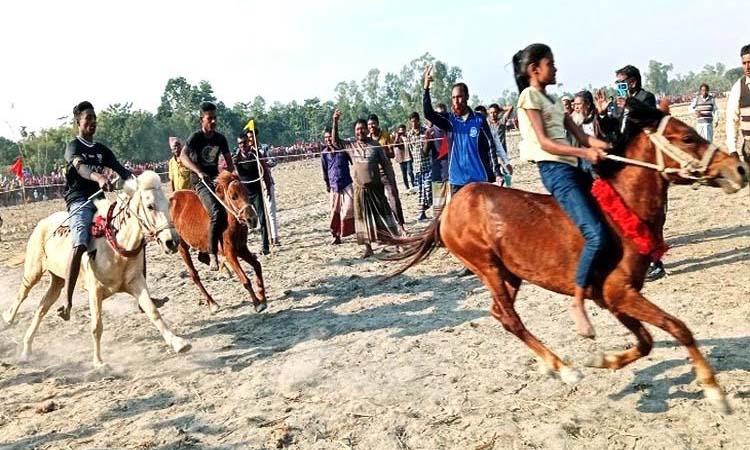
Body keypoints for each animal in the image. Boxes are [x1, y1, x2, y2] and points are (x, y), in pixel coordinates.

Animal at [3, 171, 191, 368]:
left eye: (168, 204)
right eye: (150, 206)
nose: (172, 242)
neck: (115, 244)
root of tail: (42, 223)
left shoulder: (136, 282)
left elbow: (153, 311)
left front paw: (179, 343)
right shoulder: (95, 290)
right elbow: (97, 326)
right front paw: (99, 362)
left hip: (57, 281)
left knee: (42, 308)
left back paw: (26, 349)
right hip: (34, 270)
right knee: (23, 293)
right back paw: (8, 318)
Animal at [169, 171, 268, 312]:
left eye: (247, 192)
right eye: (233, 197)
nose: (252, 219)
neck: (229, 220)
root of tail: (172, 198)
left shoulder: (241, 248)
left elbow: (257, 265)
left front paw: (261, 295)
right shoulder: (230, 252)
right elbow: (245, 280)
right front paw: (257, 303)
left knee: (202, 258)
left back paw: (217, 265)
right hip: (182, 246)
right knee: (194, 275)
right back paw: (212, 303)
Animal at [390, 100, 748, 414]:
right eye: (687, 138)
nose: (739, 168)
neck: (622, 210)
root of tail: (452, 205)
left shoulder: (613, 297)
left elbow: (646, 341)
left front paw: (604, 360)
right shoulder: (619, 293)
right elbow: (679, 327)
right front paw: (715, 392)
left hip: (510, 274)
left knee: (499, 313)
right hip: (486, 266)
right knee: (511, 318)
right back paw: (563, 368)